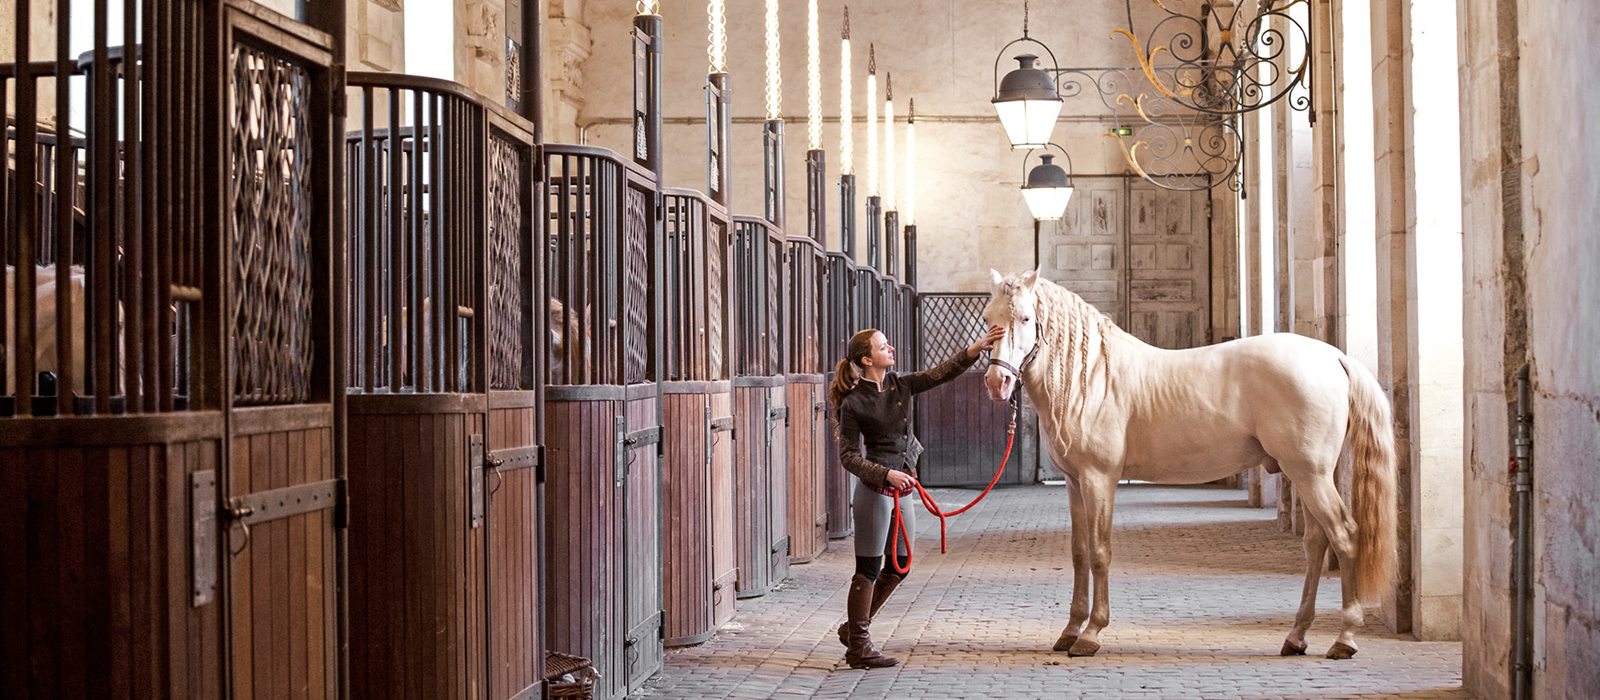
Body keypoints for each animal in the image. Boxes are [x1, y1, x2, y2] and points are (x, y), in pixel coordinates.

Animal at [979, 265, 1395, 658]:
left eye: (1026, 318)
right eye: (987, 318)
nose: (997, 383)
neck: (1093, 379)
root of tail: (1333, 356)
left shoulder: (1099, 479)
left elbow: (1099, 552)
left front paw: (1091, 634)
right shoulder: (1074, 481)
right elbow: (1079, 553)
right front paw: (1069, 631)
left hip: (1312, 475)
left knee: (1345, 536)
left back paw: (1344, 639)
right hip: (1307, 475)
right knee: (1315, 543)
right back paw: (1296, 637)